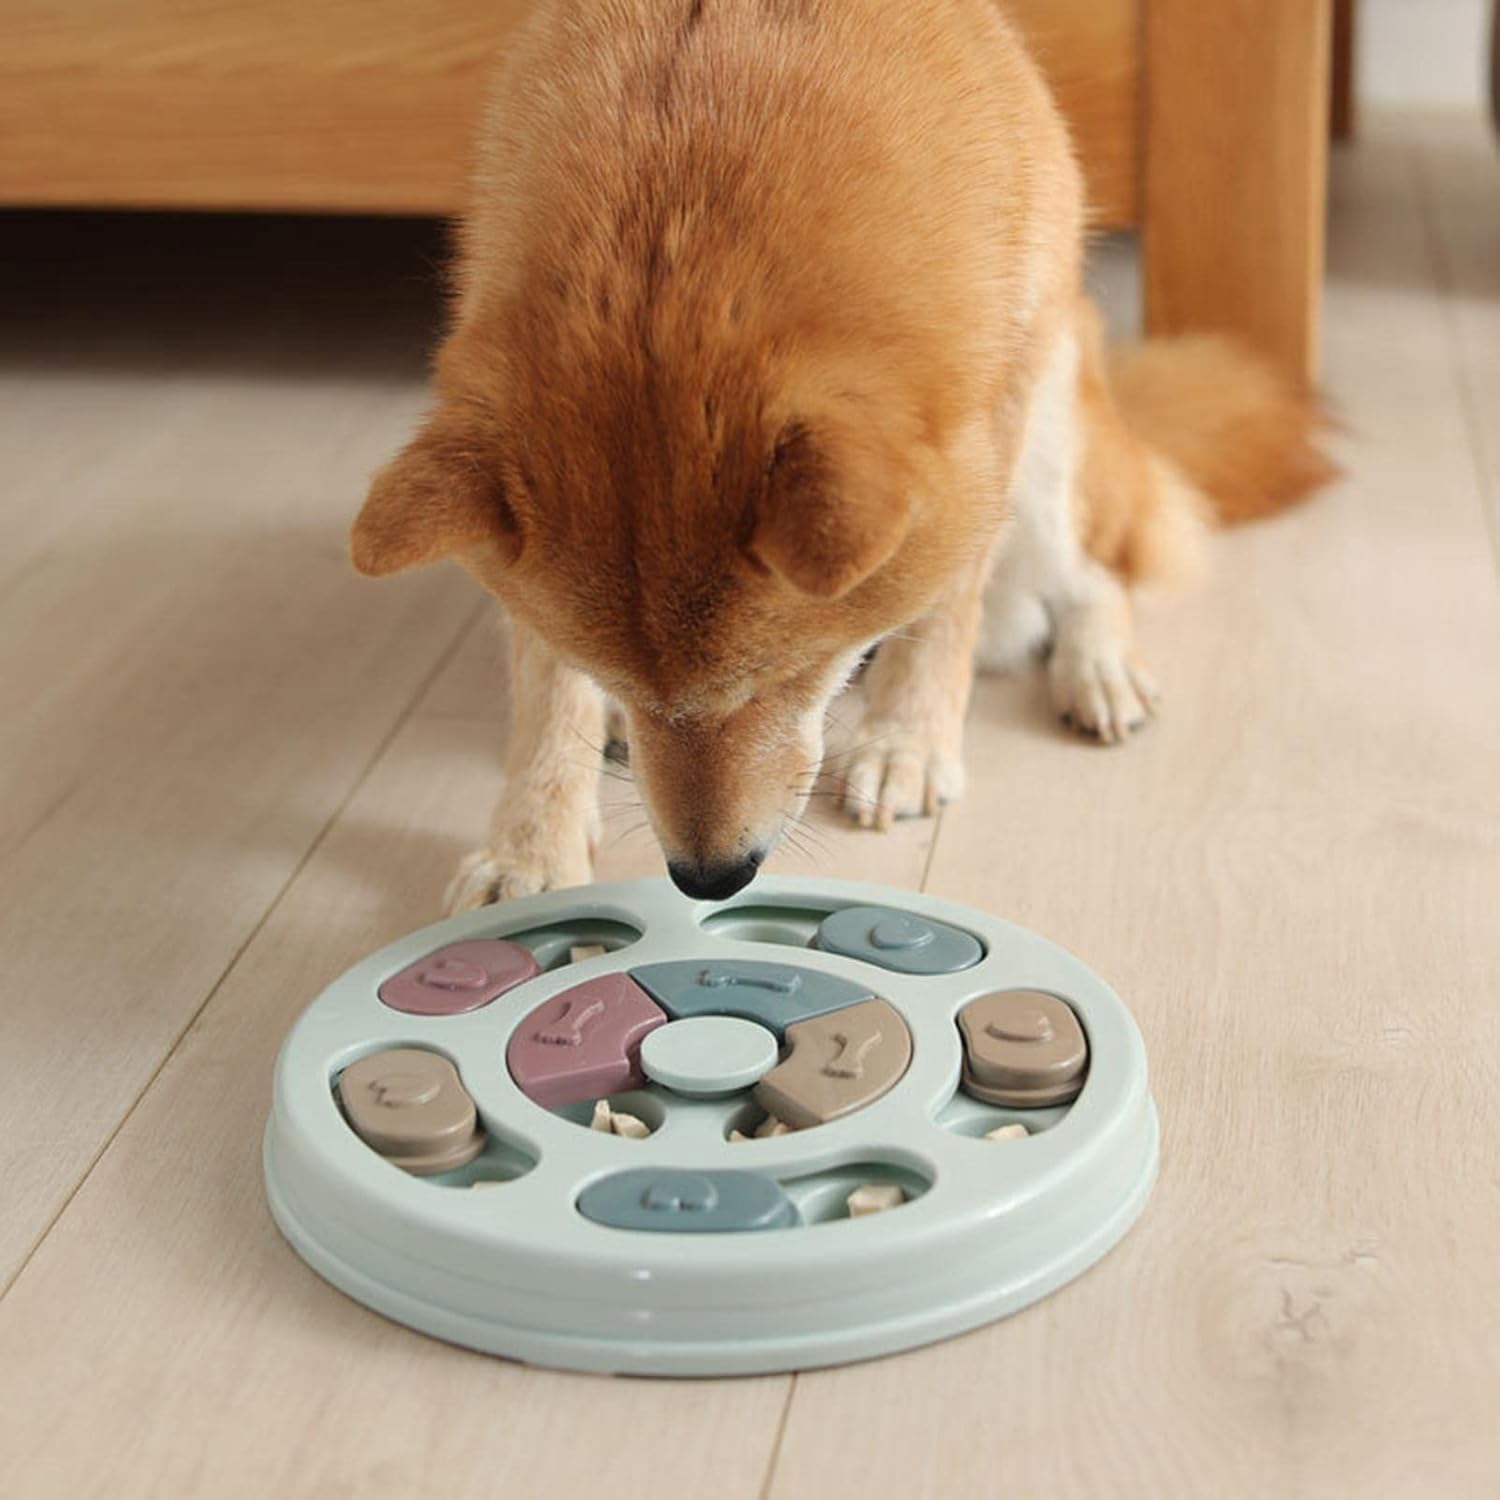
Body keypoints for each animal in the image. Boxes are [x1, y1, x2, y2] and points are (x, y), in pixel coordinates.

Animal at [345, 0, 1332, 900]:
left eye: (788, 675)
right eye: (606, 669)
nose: (709, 880)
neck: (693, 164)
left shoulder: (986, 422)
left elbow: (941, 614)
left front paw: (908, 741)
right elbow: (546, 693)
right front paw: (531, 846)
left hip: (1055, 432)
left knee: (1098, 568)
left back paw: (1098, 667)